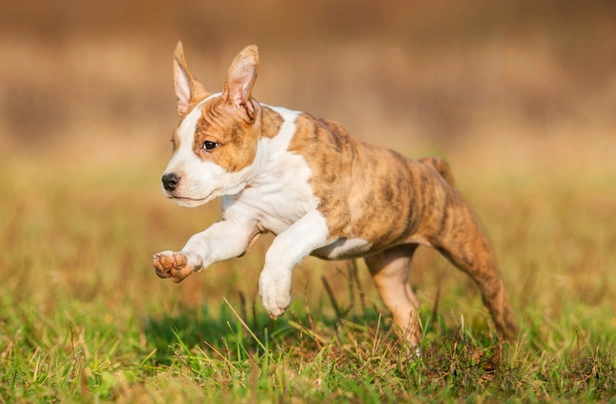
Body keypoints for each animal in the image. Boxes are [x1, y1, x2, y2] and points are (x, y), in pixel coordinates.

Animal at [152, 43, 516, 348]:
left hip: (469, 250)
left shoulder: (330, 213)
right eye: (174, 144)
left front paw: (273, 294)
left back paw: (508, 349)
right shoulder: (239, 228)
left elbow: (283, 243)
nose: (168, 180)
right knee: (407, 308)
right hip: (388, 267)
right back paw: (412, 361)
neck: (267, 169)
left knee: (495, 296)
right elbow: (203, 240)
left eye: (209, 144)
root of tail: (429, 167)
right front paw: (178, 261)